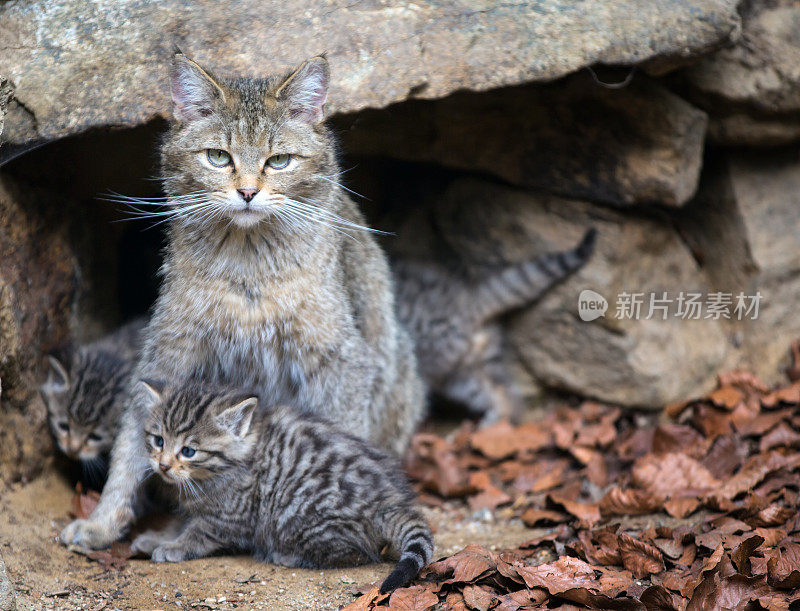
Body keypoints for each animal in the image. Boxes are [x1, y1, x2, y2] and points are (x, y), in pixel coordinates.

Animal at [62, 52, 424, 548]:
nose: (248, 192)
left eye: (279, 161)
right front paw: (103, 522)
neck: (247, 264)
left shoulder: (340, 363)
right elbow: (131, 447)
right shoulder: (167, 355)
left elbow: (342, 437)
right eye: (218, 157)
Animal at [130, 380, 432, 596]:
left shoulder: (232, 515)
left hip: (298, 511)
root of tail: (392, 500)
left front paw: (175, 547)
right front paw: (155, 538)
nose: (163, 466)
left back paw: (287, 555)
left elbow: (199, 533)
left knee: (355, 553)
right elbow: (179, 523)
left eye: (189, 451)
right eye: (158, 441)